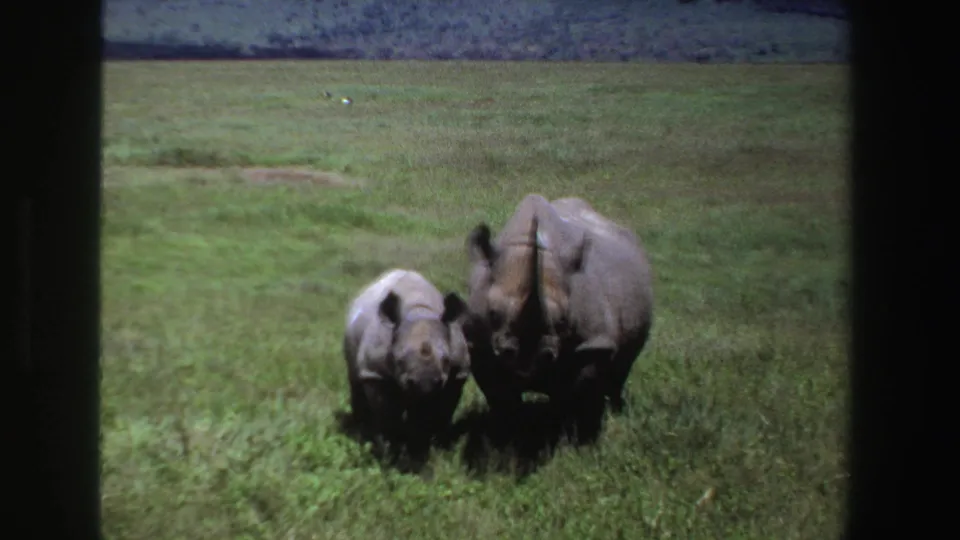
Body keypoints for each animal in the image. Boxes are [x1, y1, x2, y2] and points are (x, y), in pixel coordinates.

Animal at [343, 269, 471, 455]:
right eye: (399, 360)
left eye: (446, 360)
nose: (425, 383)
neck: (419, 311)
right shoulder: (375, 373)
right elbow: (387, 414)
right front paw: (390, 449)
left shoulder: (457, 376)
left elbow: (442, 413)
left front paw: (431, 446)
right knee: (355, 379)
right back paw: (361, 430)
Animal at [464, 194, 654, 443]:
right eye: (493, 314)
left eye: (563, 320)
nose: (531, 360)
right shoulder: (479, 344)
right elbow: (502, 399)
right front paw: (511, 436)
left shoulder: (594, 343)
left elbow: (576, 393)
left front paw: (572, 438)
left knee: (622, 367)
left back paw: (615, 410)